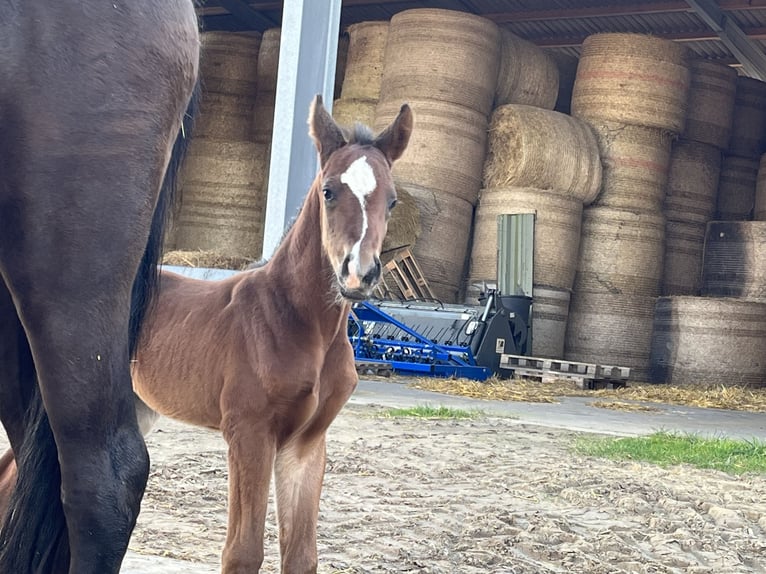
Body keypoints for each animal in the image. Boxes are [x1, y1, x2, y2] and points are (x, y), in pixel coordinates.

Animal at [130, 94, 414, 572]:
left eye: (392, 201)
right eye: (328, 191)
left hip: (138, 409)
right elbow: (243, 552)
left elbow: (301, 555)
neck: (300, 325)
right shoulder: (248, 434)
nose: (358, 274)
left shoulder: (306, 446)